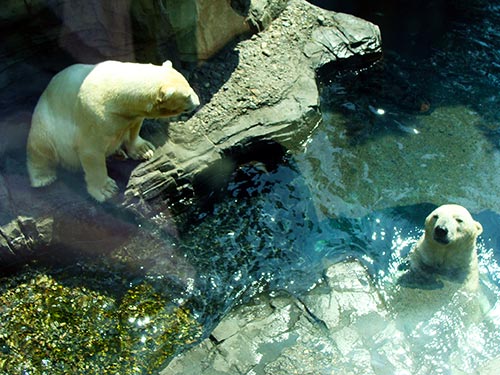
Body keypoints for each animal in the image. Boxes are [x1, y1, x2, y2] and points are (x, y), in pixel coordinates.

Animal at [26, 60, 199, 203]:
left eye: (188, 84)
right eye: (187, 95)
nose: (198, 103)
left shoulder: (130, 116)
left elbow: (133, 129)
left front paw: (145, 150)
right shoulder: (94, 117)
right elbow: (91, 151)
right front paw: (107, 190)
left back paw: (118, 153)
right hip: (47, 125)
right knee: (40, 149)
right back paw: (43, 178)